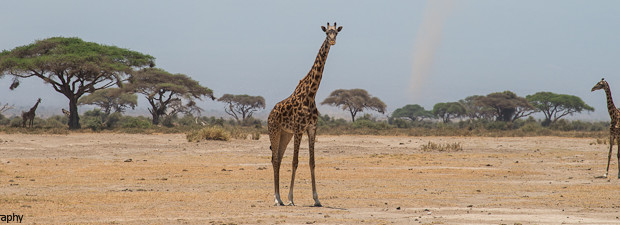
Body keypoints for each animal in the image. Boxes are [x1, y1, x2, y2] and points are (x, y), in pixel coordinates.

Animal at [268, 22, 344, 206]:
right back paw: (277, 198)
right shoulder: (299, 128)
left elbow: (312, 162)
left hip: (285, 134)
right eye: (327, 33)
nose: (332, 41)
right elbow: (295, 162)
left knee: (278, 158)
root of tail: (269, 114)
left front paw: (316, 199)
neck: (311, 94)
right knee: (275, 159)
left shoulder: (312, 128)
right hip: (274, 131)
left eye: (337, 33)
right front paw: (291, 198)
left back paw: (279, 198)